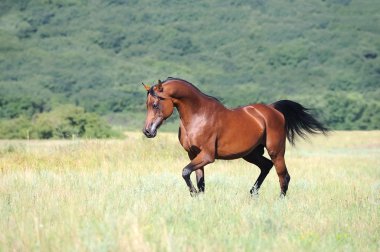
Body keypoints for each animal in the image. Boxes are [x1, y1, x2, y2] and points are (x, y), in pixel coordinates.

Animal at [142, 77, 326, 197]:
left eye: (155, 104)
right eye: (147, 104)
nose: (147, 131)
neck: (198, 116)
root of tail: (274, 110)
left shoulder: (207, 156)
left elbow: (185, 171)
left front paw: (193, 193)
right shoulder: (193, 154)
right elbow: (200, 181)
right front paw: (198, 197)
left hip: (276, 151)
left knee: (283, 176)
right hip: (251, 154)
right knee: (266, 166)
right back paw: (253, 193)